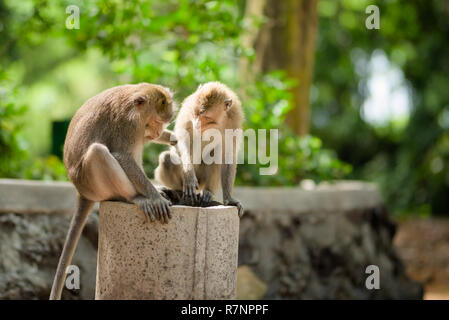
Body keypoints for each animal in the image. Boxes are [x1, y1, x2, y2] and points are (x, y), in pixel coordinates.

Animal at [49, 82, 175, 300]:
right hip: (91, 183)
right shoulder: (128, 125)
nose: (158, 131)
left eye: (162, 123)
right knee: (98, 152)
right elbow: (123, 156)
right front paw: (154, 197)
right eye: (155, 121)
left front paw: (173, 137)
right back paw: (136, 197)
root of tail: (81, 191)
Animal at [155, 82, 245, 218]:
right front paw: (189, 174)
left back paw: (207, 192)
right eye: (196, 113)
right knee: (167, 159)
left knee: (214, 154)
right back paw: (176, 191)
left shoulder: (234, 120)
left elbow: (228, 154)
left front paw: (229, 199)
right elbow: (182, 140)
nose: (197, 124)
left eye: (206, 117)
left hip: (202, 180)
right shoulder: (188, 110)